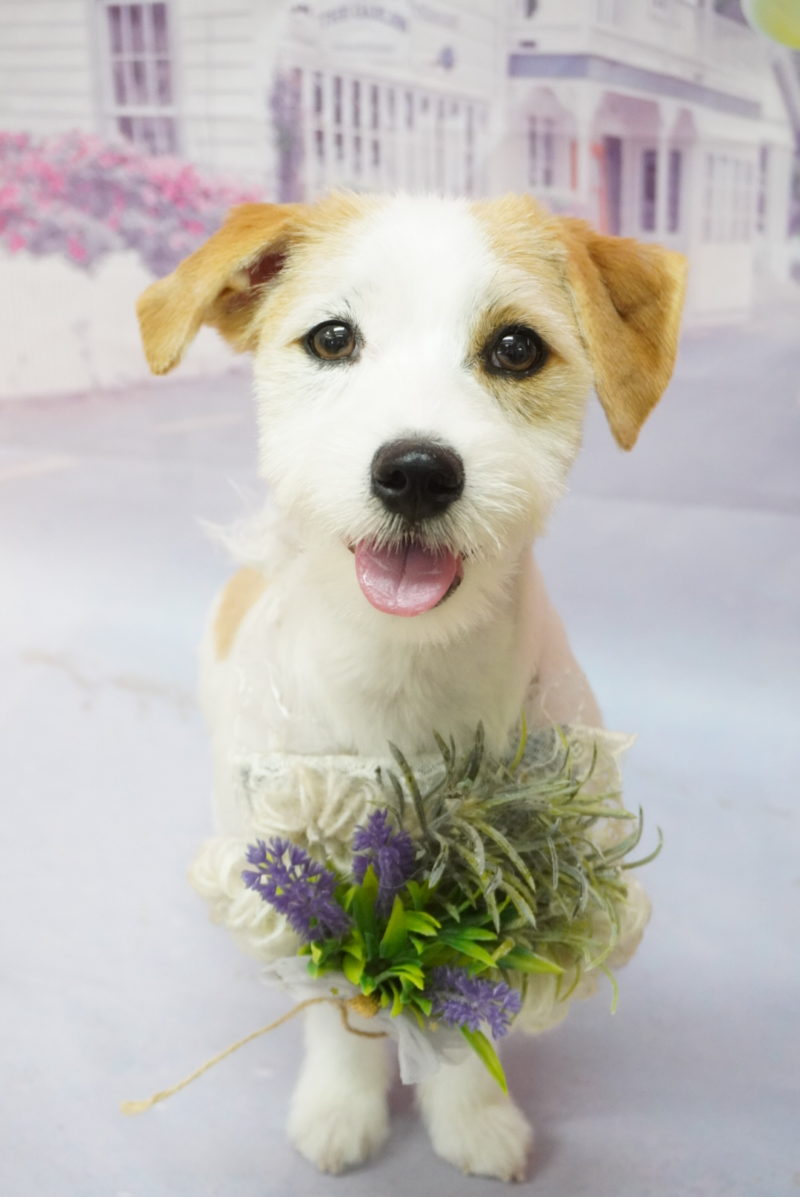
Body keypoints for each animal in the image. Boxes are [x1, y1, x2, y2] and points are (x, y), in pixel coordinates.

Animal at [137, 192, 686, 1180]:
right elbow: (335, 1004)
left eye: (516, 347)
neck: (405, 672)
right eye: (332, 336)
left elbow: (466, 1007)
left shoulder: (511, 873)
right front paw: (340, 1107)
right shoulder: (303, 877)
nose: (418, 470)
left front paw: (472, 1117)